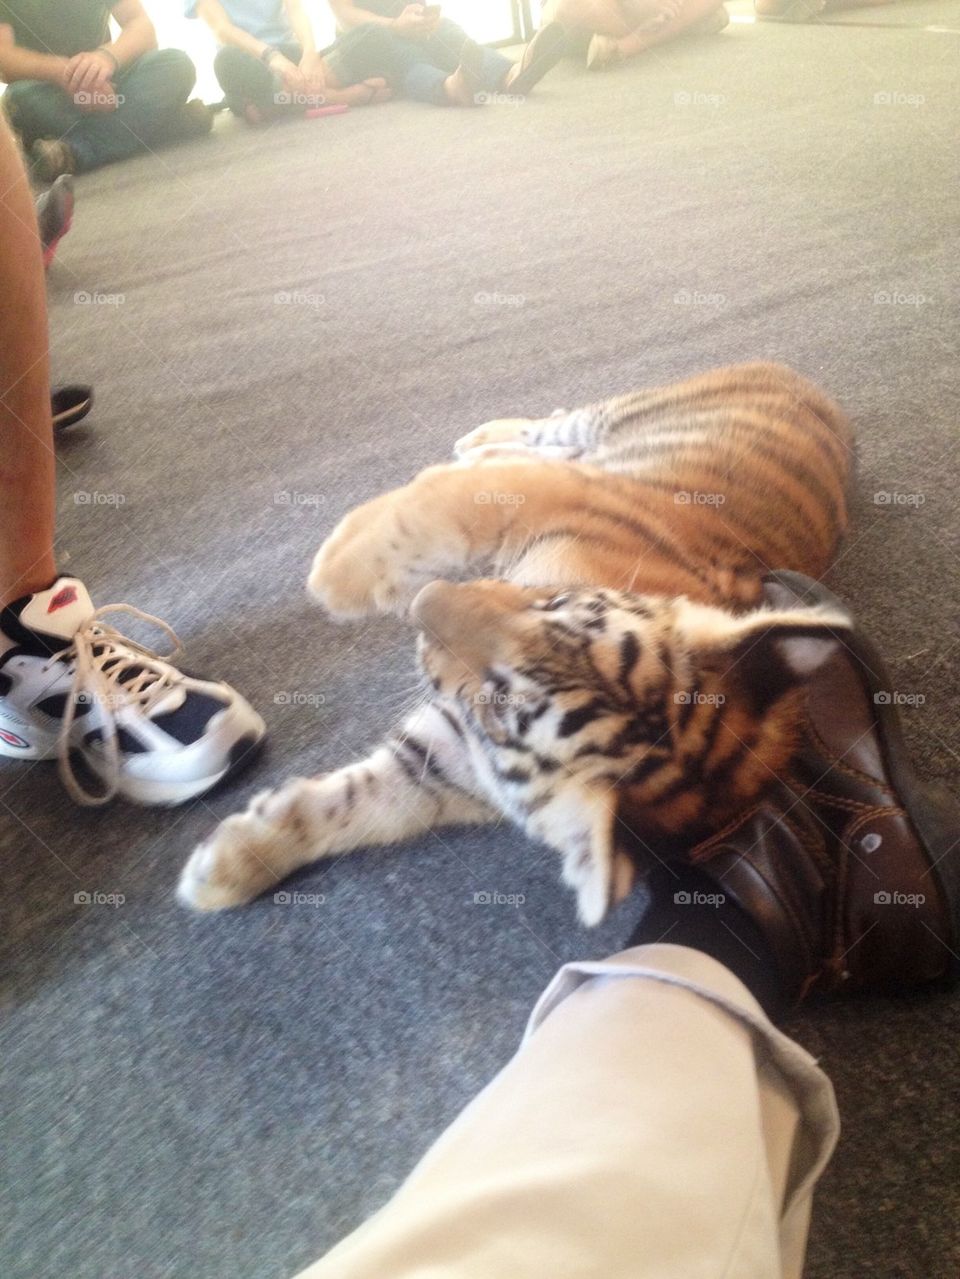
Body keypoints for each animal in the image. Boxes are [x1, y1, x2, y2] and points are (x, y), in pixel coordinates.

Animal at [178, 361, 855, 925]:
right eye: (555, 606)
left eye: (499, 707)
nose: (425, 606)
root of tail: (816, 387)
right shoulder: (550, 495)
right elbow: (434, 511)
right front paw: (334, 572)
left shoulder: (445, 768)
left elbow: (354, 808)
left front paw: (221, 868)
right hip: (608, 418)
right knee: (545, 429)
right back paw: (474, 443)